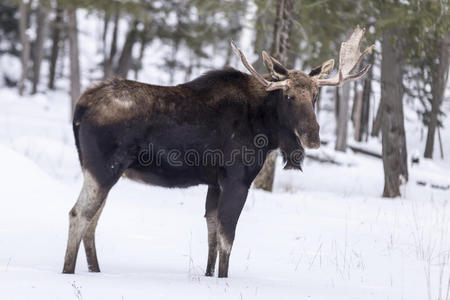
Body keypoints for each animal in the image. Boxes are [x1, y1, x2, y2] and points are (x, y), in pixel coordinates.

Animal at [63, 27, 372, 278]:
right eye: (289, 96)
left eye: (316, 96)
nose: (313, 137)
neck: (266, 125)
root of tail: (81, 105)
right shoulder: (237, 180)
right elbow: (227, 236)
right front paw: (223, 279)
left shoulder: (214, 182)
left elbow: (211, 232)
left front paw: (209, 275)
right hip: (104, 168)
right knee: (79, 215)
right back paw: (69, 272)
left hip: (102, 171)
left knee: (92, 220)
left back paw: (96, 271)